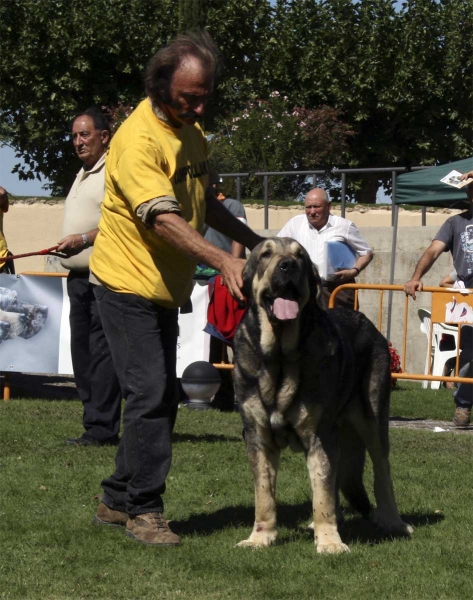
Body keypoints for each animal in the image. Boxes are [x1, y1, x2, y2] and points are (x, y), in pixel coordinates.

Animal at [234, 238, 412, 552]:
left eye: (300, 257)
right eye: (266, 254)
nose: (288, 265)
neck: (281, 357)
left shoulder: (319, 434)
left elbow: (323, 493)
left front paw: (329, 542)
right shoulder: (257, 436)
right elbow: (264, 494)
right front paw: (260, 538)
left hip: (372, 422)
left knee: (382, 472)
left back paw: (393, 521)